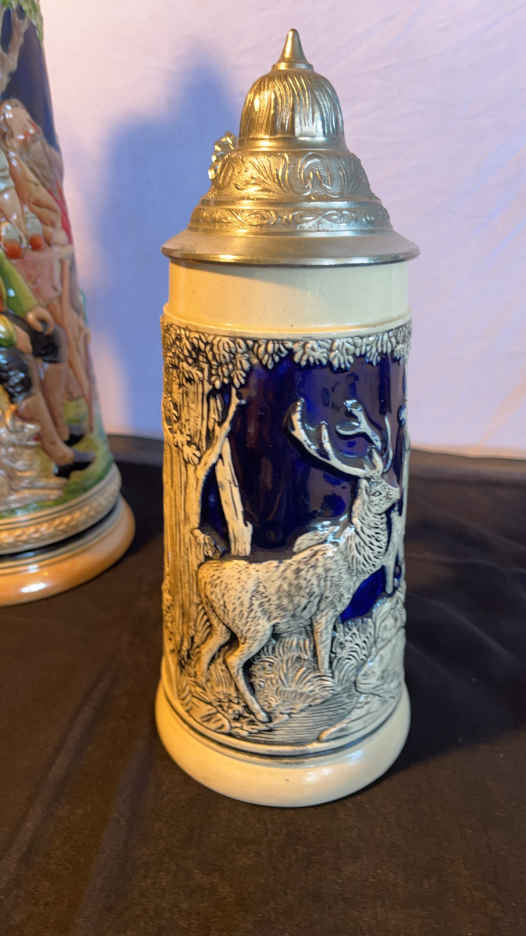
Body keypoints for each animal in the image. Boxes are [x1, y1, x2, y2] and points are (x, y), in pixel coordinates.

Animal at [196, 398, 401, 723]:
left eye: (388, 481)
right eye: (379, 490)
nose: (398, 491)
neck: (353, 562)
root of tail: (202, 574)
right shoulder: (325, 609)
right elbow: (323, 653)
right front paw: (328, 687)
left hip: (220, 623)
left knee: (204, 652)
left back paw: (206, 693)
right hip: (252, 626)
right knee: (231, 660)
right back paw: (261, 714)